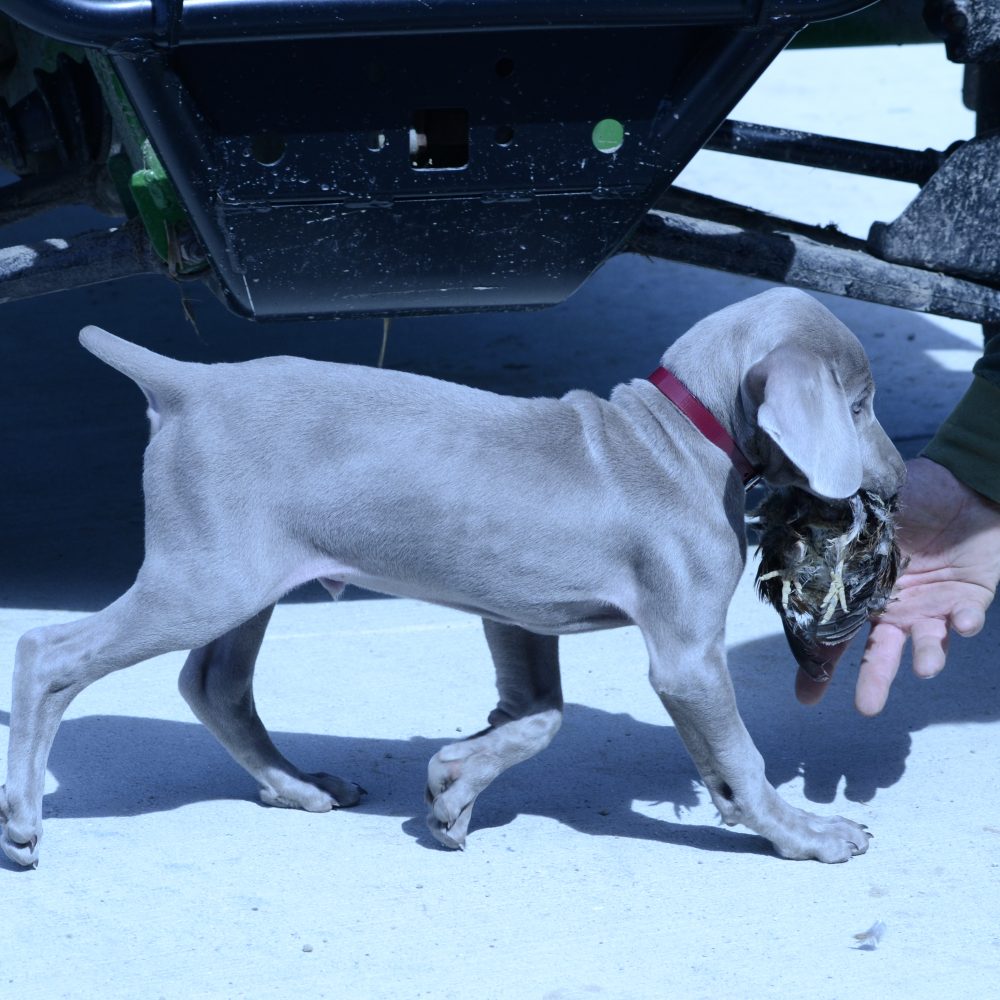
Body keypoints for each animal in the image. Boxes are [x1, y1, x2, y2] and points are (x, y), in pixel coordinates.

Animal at [0, 286, 908, 864]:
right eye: (860, 405)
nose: (899, 482)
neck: (676, 436)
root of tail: (188, 384)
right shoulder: (686, 657)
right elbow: (738, 762)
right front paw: (805, 835)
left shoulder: (518, 611)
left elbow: (539, 715)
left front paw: (453, 785)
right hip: (204, 579)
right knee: (50, 651)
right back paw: (23, 820)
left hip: (243, 573)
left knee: (214, 684)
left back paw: (295, 787)